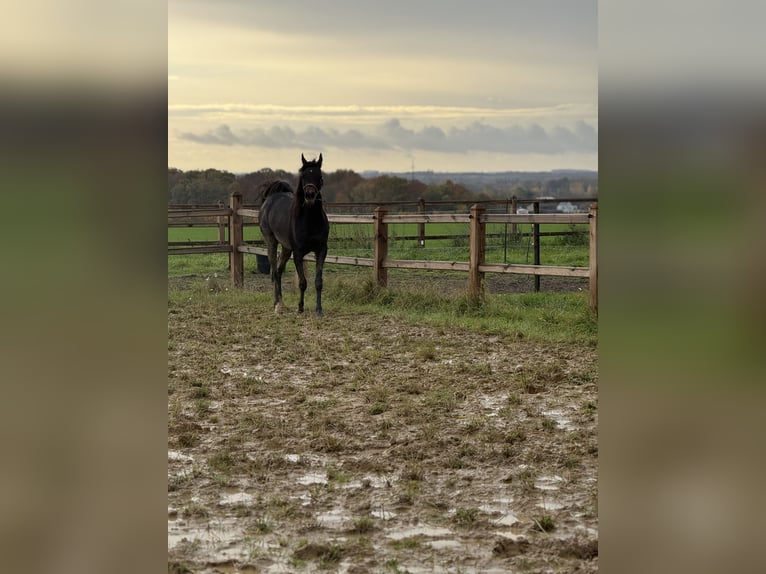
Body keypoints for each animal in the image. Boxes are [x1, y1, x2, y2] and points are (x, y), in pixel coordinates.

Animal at [259, 153, 330, 315]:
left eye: (319, 176)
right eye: (303, 176)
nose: (310, 196)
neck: (310, 221)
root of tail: (271, 198)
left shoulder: (321, 250)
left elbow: (318, 282)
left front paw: (319, 309)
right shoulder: (298, 253)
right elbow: (303, 282)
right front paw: (300, 307)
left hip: (286, 248)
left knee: (279, 271)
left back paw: (281, 303)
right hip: (272, 242)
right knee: (274, 270)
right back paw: (277, 304)